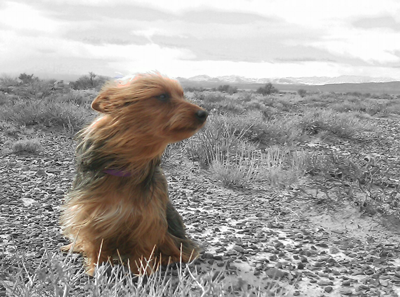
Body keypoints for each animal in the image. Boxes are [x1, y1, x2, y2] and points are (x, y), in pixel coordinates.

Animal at [61, 73, 209, 274]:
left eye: (182, 95)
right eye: (162, 96)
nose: (204, 114)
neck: (126, 167)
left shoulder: (149, 219)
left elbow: (143, 247)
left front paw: (141, 270)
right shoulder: (90, 213)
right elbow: (94, 244)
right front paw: (94, 267)